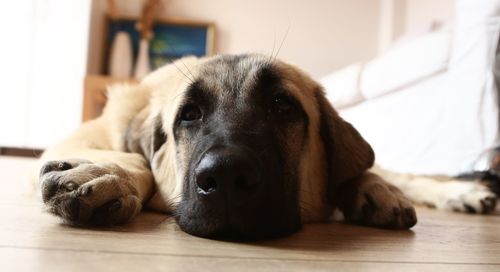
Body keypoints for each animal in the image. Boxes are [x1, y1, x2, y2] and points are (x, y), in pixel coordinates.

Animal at [36, 54, 418, 238]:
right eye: (189, 114)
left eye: (282, 105)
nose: (226, 174)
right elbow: (136, 159)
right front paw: (111, 175)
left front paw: (375, 187)